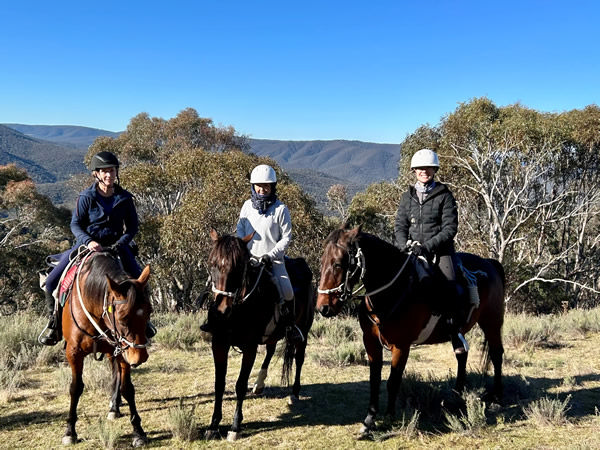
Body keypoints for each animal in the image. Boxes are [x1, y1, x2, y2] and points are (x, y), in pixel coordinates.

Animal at [60, 250, 152, 446]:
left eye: (149, 311)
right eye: (123, 318)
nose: (139, 357)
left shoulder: (123, 350)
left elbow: (127, 388)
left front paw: (138, 432)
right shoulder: (74, 353)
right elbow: (75, 388)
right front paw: (70, 431)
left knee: (116, 374)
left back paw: (114, 407)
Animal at [204, 230, 314, 442]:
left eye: (239, 266)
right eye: (212, 263)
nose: (221, 309)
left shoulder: (250, 347)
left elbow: (240, 385)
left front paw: (235, 426)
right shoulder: (219, 344)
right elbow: (219, 384)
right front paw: (213, 425)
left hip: (303, 331)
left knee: (299, 359)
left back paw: (294, 394)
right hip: (272, 334)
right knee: (270, 350)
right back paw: (259, 383)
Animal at [316, 227, 504, 434]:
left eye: (338, 264)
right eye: (322, 262)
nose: (323, 307)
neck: (391, 292)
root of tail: (490, 263)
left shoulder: (401, 346)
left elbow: (393, 381)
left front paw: (389, 418)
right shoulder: (371, 342)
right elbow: (375, 380)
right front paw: (369, 420)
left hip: (492, 323)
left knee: (496, 354)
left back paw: (497, 397)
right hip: (460, 331)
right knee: (461, 354)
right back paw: (457, 393)